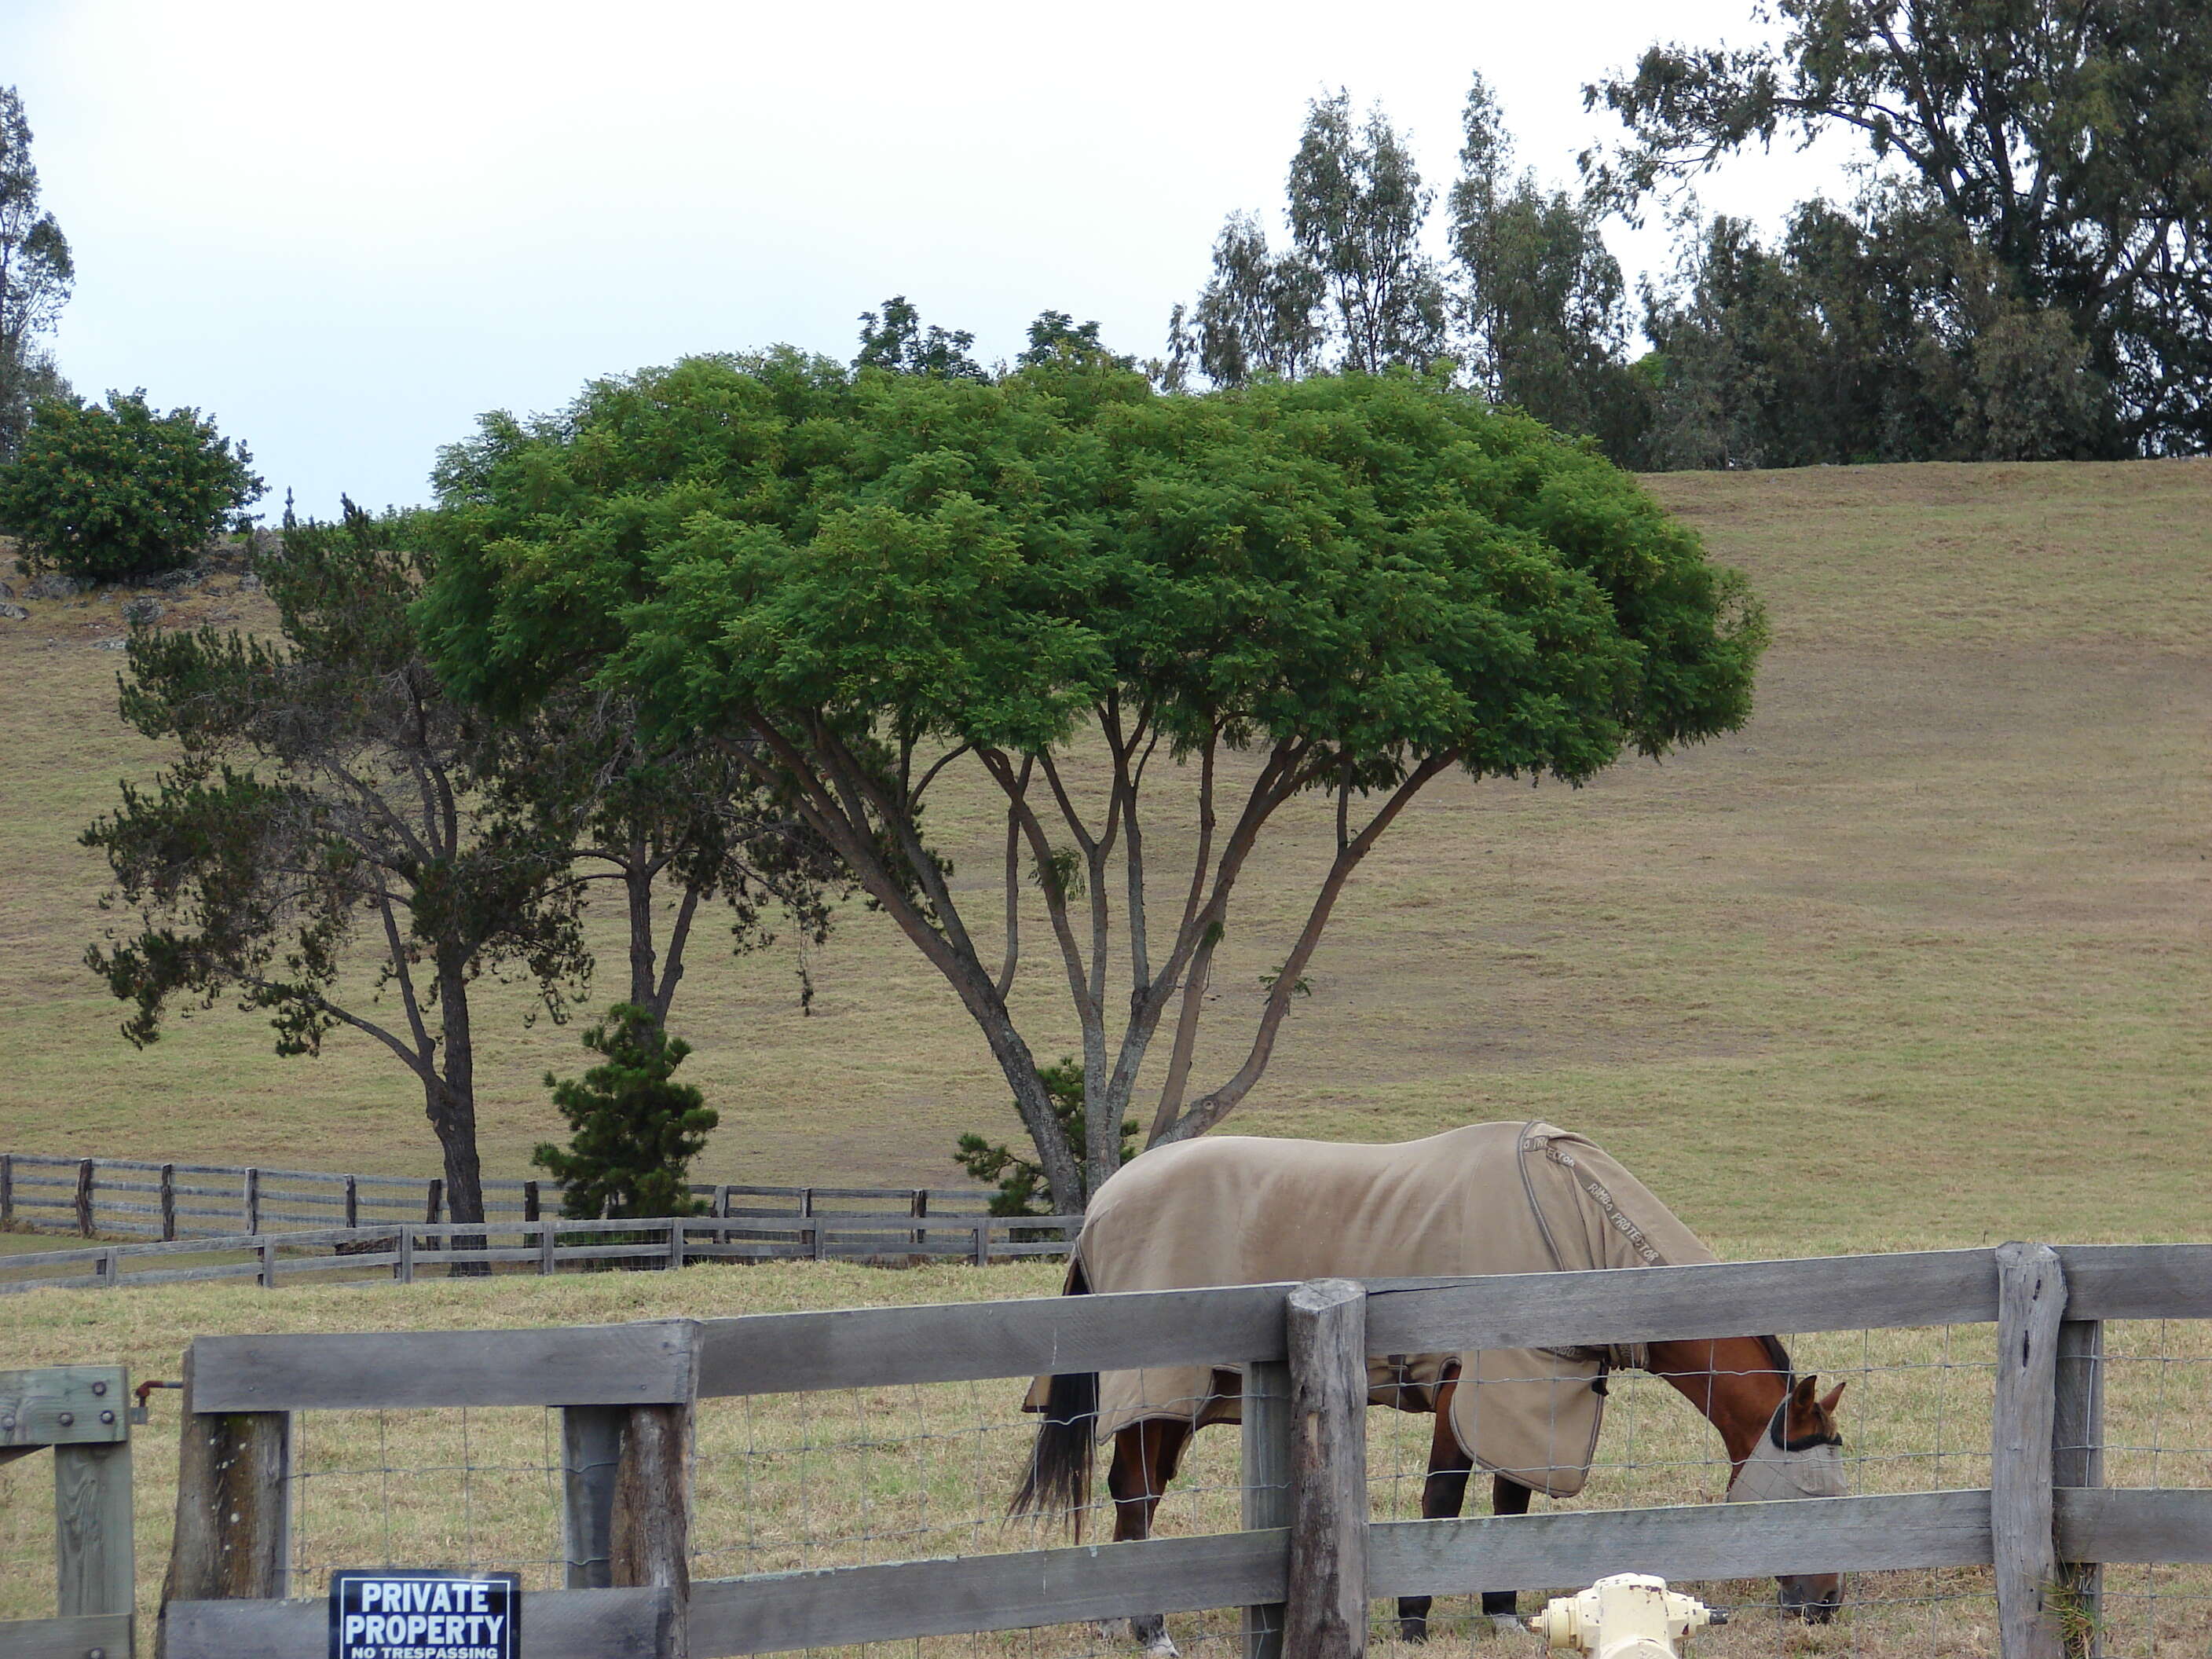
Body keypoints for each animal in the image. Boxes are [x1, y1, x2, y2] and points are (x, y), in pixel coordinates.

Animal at [1013, 1123, 1849, 1654]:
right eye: (1814, 1494)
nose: (1828, 1606)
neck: (1579, 1225)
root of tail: (1101, 1206)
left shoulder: (1539, 1394)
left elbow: (1510, 1502)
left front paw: (1503, 1615)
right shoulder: (1474, 1384)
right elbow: (1445, 1497)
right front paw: (1414, 1623)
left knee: (1134, 1492)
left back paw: (1117, 1622)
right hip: (1161, 1394)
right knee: (1137, 1491)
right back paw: (1151, 1630)